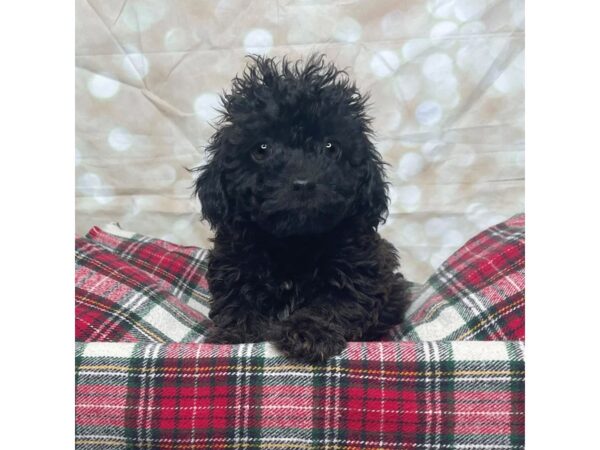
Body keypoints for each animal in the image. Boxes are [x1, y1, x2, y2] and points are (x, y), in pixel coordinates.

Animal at [195, 54, 410, 362]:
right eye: (262, 149)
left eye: (331, 147)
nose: (304, 183)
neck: (294, 243)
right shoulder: (235, 262)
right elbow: (237, 303)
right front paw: (233, 334)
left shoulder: (359, 270)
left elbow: (335, 304)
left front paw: (309, 333)